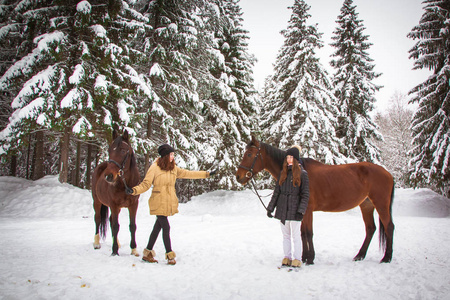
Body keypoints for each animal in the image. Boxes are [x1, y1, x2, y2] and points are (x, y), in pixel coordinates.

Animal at [236, 137, 394, 264]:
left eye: (249, 154)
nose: (238, 176)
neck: (297, 172)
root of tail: (388, 173)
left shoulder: (307, 210)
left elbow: (308, 233)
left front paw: (310, 258)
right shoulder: (301, 212)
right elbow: (302, 234)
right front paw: (304, 257)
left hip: (381, 204)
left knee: (389, 227)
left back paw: (386, 258)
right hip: (366, 205)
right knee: (370, 229)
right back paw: (360, 256)